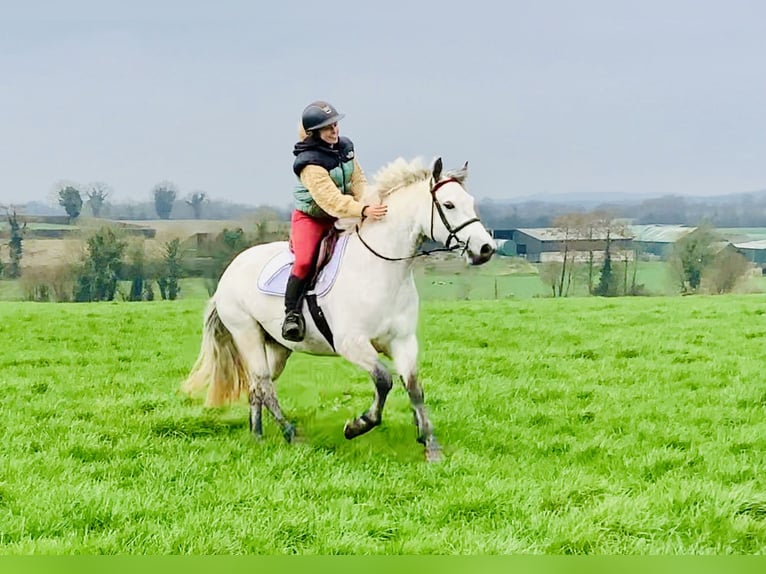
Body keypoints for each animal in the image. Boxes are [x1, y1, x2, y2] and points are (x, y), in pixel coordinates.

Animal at [181, 156, 496, 462]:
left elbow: (414, 387)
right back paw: (291, 434)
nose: (486, 249)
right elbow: (383, 380)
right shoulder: (351, 344)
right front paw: (357, 425)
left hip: (278, 346)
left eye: (470, 202)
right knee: (264, 383)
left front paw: (430, 445)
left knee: (257, 386)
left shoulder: (403, 341)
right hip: (246, 333)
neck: (382, 269)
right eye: (449, 204)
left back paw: (257, 435)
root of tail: (229, 271)